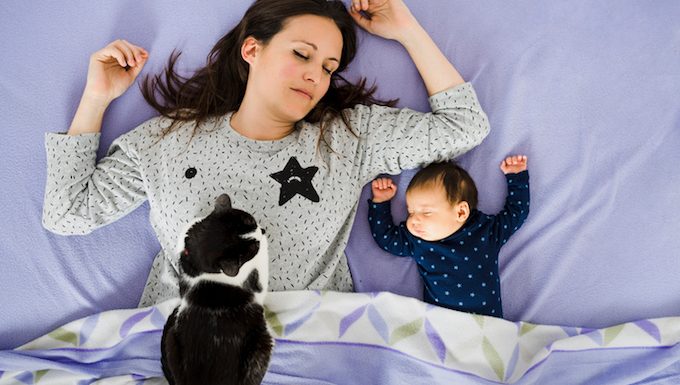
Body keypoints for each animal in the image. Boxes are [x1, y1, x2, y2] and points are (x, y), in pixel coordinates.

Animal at [161, 195, 270, 384]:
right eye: (253, 249)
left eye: (251, 220)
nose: (262, 231)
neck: (196, 262)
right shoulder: (256, 284)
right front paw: (265, 245)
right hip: (260, 346)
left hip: (170, 342)